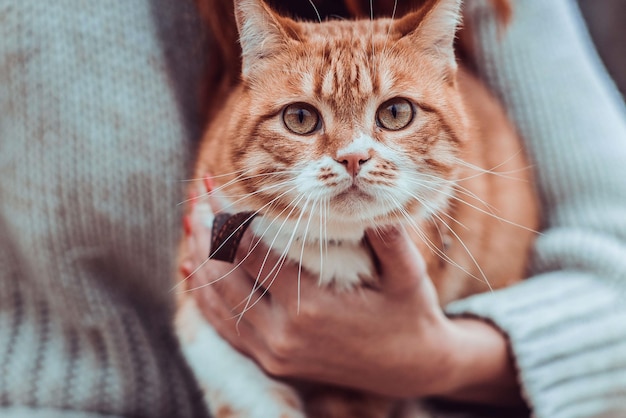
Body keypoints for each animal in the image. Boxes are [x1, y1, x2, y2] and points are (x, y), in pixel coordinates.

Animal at [174, 0, 536, 418]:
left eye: (395, 113)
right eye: (300, 118)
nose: (352, 157)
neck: (326, 249)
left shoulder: (370, 377)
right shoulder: (203, 304)